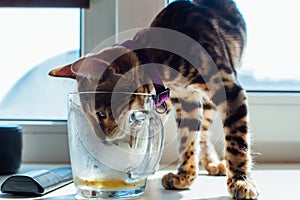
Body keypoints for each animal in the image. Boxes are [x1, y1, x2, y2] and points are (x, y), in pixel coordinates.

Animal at [48, 0, 258, 198]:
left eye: (100, 114)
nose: (103, 141)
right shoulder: (187, 101)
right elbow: (188, 139)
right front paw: (185, 175)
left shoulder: (229, 89)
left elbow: (237, 142)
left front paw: (241, 181)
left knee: (206, 130)